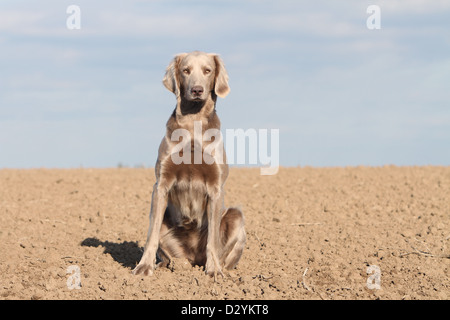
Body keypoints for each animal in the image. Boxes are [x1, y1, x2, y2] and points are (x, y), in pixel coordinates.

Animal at [134, 50, 246, 278]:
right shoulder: (161, 184)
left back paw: (223, 270)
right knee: (167, 254)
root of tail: (194, 258)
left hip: (235, 216)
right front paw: (144, 267)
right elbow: (151, 234)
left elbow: (213, 240)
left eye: (207, 70)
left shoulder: (216, 186)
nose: (197, 90)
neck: (193, 122)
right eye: (186, 70)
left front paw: (214, 272)